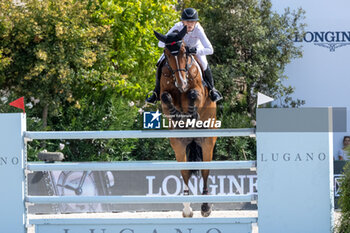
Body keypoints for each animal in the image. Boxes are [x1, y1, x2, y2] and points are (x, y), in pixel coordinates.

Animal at [154, 26, 217, 218]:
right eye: (166, 54)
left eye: (184, 51)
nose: (181, 83)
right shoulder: (164, 94)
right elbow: (166, 98)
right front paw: (177, 115)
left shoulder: (199, 92)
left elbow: (194, 94)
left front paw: (191, 113)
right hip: (179, 146)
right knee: (185, 173)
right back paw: (187, 208)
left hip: (207, 143)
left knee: (205, 171)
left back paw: (205, 207)